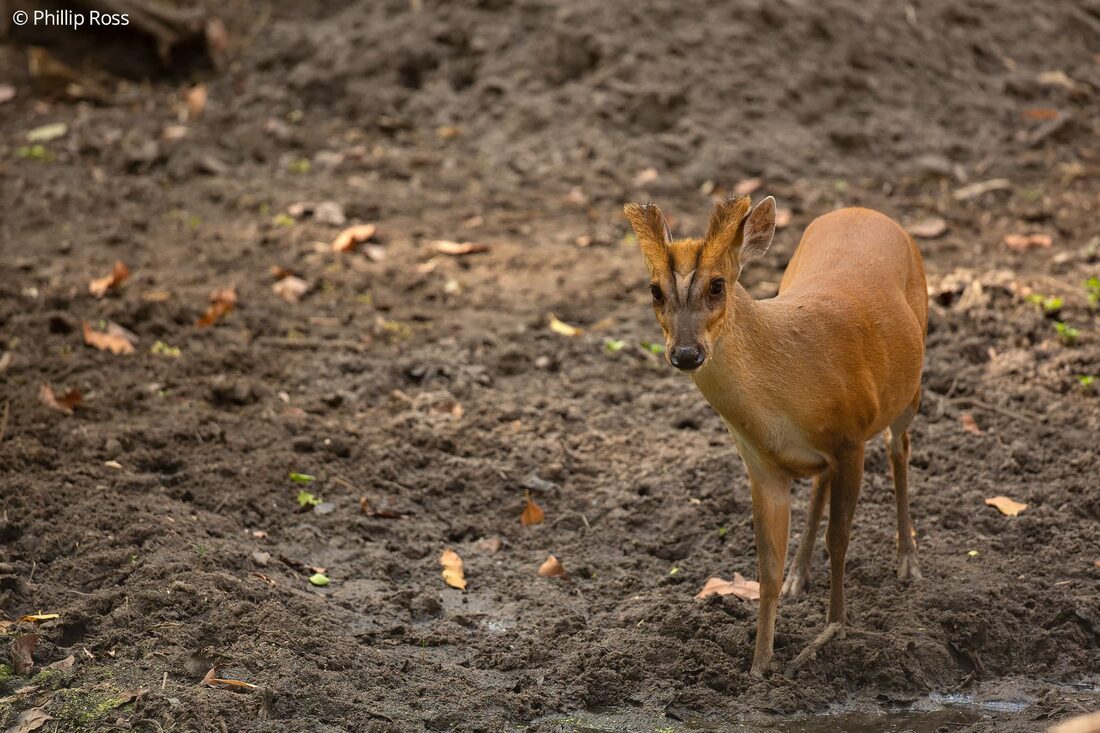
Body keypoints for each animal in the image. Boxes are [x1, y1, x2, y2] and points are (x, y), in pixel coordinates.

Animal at [625, 195, 928, 676]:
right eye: (655, 290)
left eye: (717, 286)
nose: (686, 353)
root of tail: (862, 210)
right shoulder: (761, 465)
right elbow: (766, 567)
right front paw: (760, 665)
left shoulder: (851, 438)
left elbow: (839, 539)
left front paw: (836, 626)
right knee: (822, 481)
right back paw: (798, 576)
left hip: (908, 390)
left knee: (899, 449)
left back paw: (907, 562)